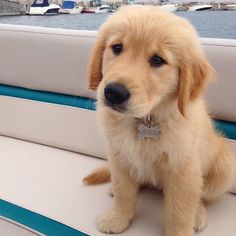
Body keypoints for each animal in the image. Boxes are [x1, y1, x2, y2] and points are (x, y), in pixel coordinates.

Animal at [84, 5, 235, 236]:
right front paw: (117, 218)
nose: (114, 93)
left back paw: (198, 215)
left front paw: (180, 230)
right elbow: (123, 190)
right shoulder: (119, 156)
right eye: (117, 48)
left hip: (225, 169)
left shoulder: (183, 168)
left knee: (201, 196)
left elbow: (180, 210)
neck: (145, 120)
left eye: (158, 60)